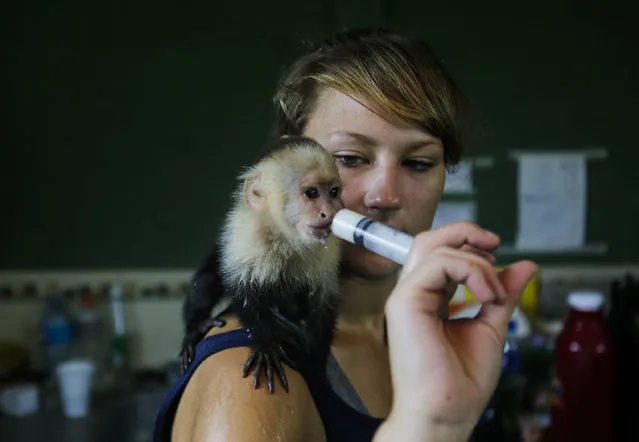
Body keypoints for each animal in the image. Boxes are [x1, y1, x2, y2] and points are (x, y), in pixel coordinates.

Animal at [180, 137, 344, 394]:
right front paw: (266, 346)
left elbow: (323, 301)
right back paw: (195, 326)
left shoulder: (330, 246)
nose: (329, 213)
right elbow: (245, 292)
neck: (286, 236)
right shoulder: (248, 237)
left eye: (334, 192)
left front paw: (316, 364)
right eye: (311, 193)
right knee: (206, 279)